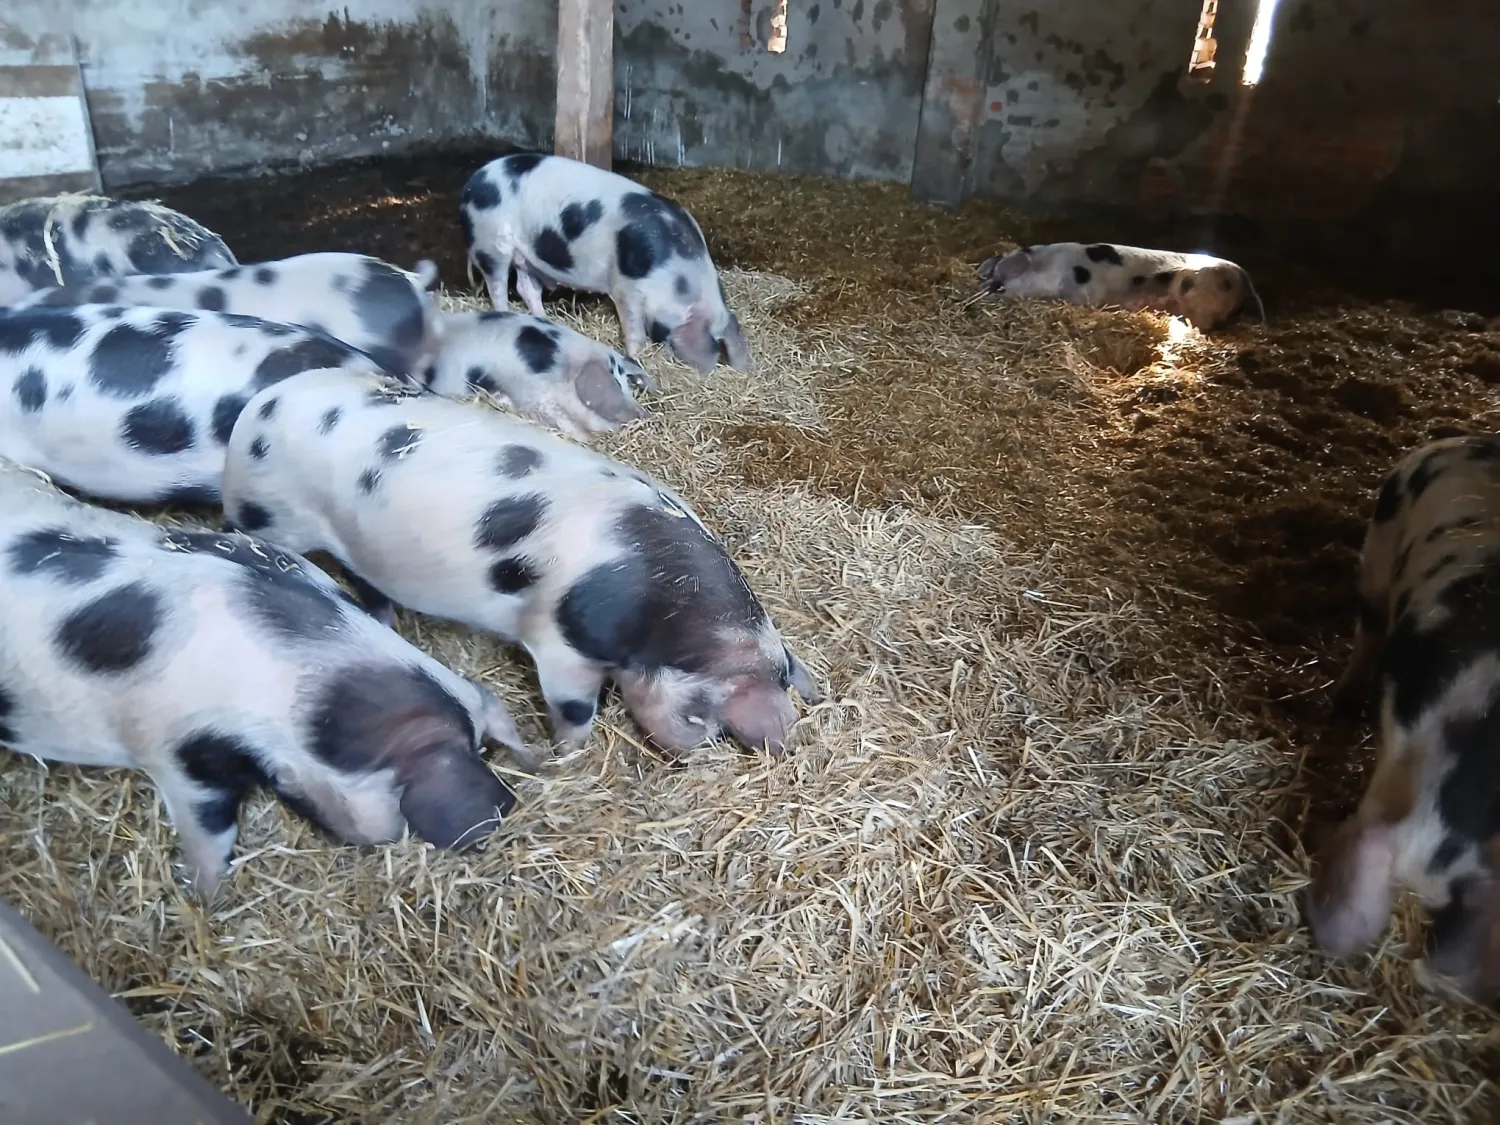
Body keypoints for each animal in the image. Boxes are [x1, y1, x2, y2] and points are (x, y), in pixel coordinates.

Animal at [220, 367, 823, 759]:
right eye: (701, 717)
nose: (778, 738)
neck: (658, 618)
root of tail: (260, 405)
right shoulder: (559, 647)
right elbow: (574, 709)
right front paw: (566, 755)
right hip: (267, 516)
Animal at [458, 151, 750, 375]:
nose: (708, 370)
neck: (677, 278)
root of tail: (473, 181)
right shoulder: (626, 287)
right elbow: (634, 330)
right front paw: (636, 356)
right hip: (490, 244)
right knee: (497, 288)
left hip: (528, 258)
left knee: (526, 287)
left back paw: (546, 320)